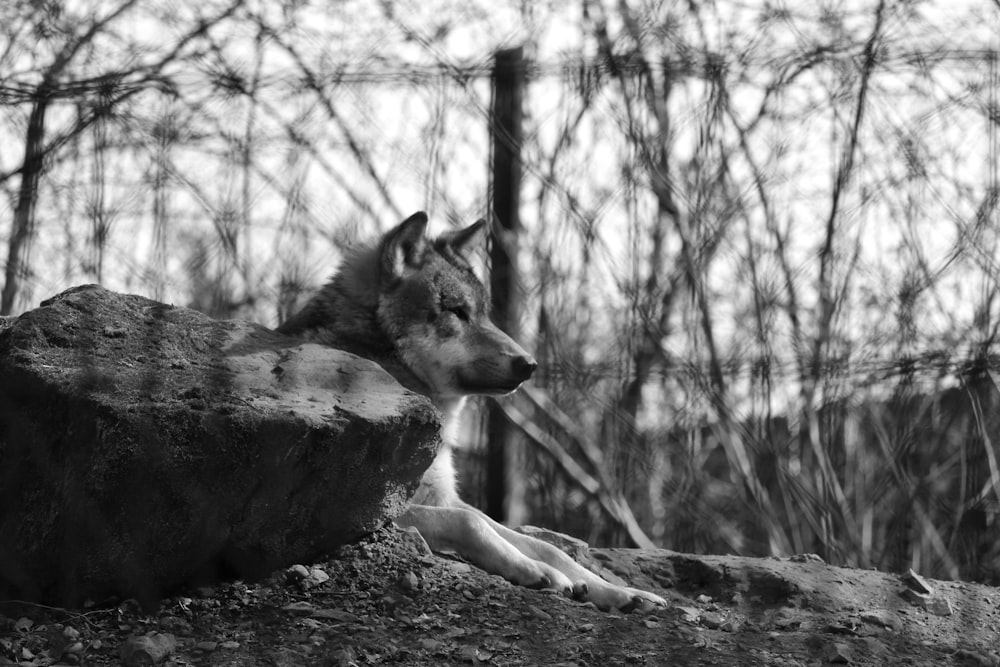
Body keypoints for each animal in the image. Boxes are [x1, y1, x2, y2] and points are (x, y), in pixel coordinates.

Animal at [278, 211, 668, 612]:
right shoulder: (373, 512)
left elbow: (543, 544)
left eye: (484, 314)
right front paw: (538, 572)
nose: (529, 364)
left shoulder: (444, 496)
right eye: (457, 312)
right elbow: (470, 523)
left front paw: (619, 592)